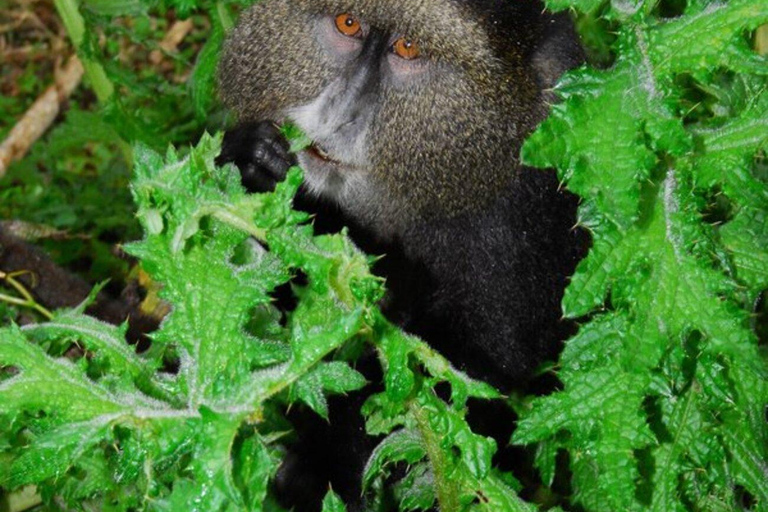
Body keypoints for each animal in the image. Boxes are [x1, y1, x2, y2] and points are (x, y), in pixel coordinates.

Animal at [217, 0, 588, 509]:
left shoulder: (525, 208)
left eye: (408, 48)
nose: (340, 113)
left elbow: (466, 371)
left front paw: (316, 472)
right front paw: (252, 161)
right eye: (348, 24)